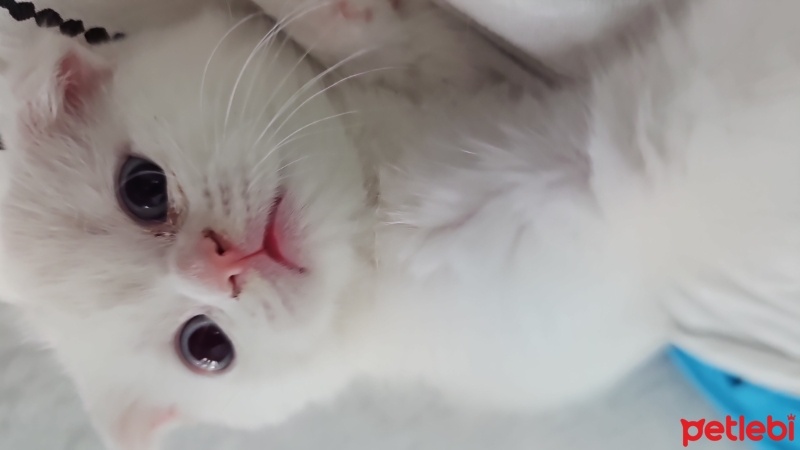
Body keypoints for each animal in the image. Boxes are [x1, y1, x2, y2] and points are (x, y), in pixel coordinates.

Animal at [0, 0, 796, 450]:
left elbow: (393, 45)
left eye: (141, 189)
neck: (377, 177)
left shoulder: (474, 71)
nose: (223, 266)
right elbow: (662, 153)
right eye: (205, 347)